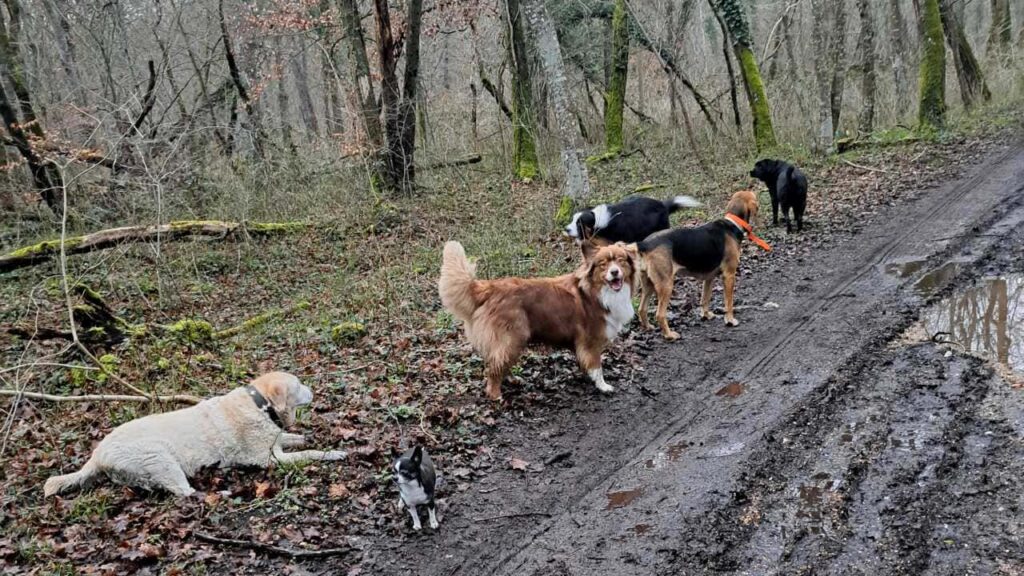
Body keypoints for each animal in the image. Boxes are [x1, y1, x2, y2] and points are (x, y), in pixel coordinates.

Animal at [440, 238, 638, 399]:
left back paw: (512, 380)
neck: (598, 292)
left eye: (620, 260)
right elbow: (597, 366)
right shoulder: (591, 340)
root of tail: (489, 288)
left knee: (499, 362)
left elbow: (585, 363)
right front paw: (603, 386)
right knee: (495, 367)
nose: (614, 272)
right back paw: (495, 395)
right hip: (512, 338)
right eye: (603, 264)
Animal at [630, 190, 770, 338]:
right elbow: (729, 303)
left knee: (642, 309)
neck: (732, 224)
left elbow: (705, 299)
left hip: (649, 284)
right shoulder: (729, 275)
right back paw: (670, 335)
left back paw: (648, 327)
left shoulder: (709, 278)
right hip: (666, 285)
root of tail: (645, 243)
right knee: (660, 314)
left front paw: (706, 315)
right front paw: (730, 320)